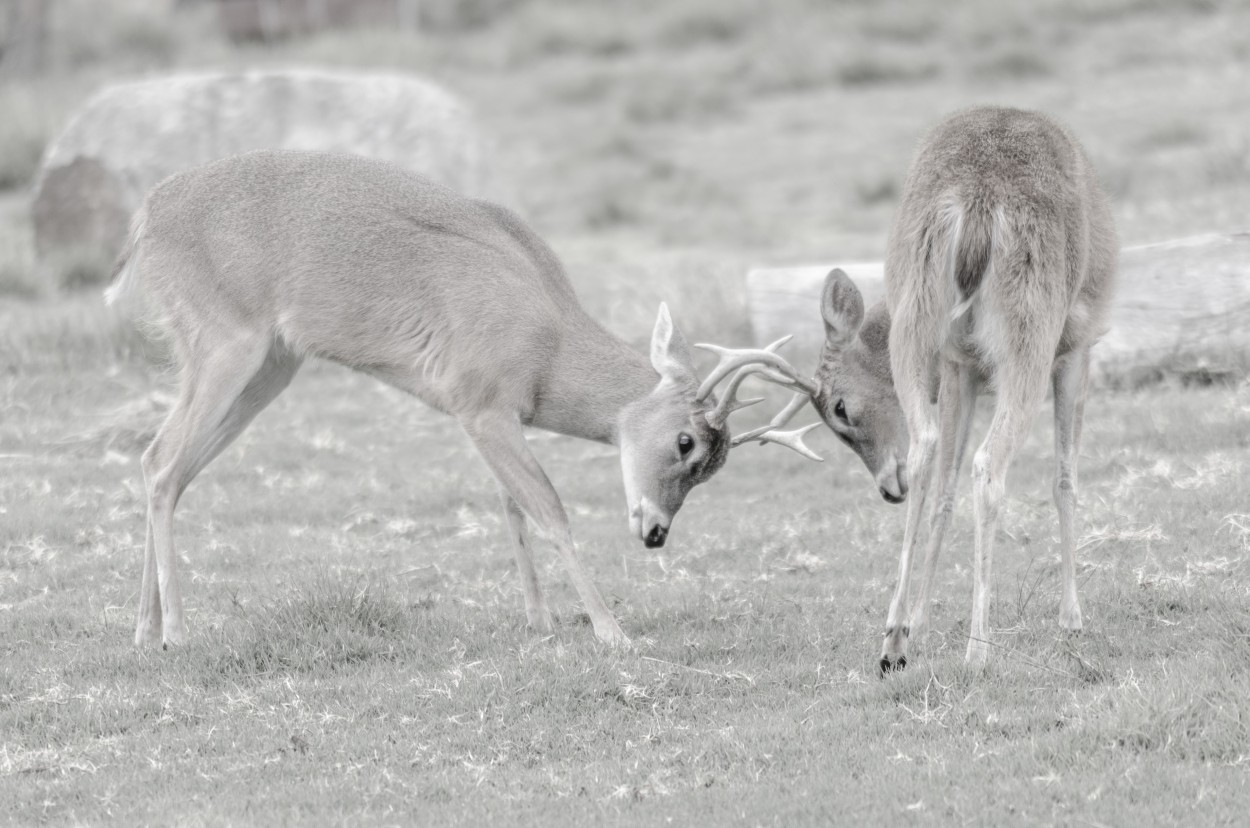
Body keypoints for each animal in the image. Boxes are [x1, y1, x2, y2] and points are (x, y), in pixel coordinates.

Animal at [110, 152, 820, 650]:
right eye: (686, 441)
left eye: (714, 465)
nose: (654, 533)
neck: (548, 335)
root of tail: (147, 214)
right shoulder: (479, 405)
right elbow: (548, 509)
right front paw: (611, 631)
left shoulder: (495, 416)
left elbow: (510, 507)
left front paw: (541, 618)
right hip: (228, 346)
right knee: (164, 465)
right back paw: (177, 632)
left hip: (267, 367)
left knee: (160, 465)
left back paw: (145, 631)